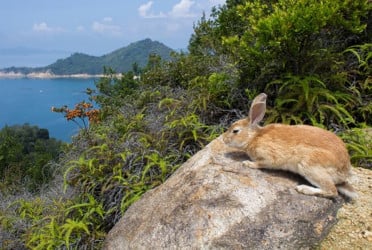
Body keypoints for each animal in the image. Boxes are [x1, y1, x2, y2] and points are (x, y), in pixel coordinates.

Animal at [224, 92, 358, 199]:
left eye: (235, 131)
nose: (224, 139)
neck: (254, 137)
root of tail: (344, 171)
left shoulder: (269, 157)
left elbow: (260, 163)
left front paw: (247, 163)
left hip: (310, 166)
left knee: (332, 191)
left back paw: (303, 189)